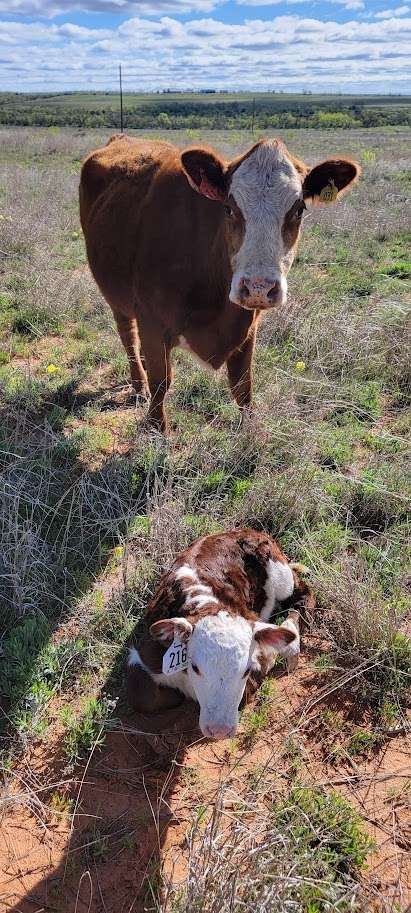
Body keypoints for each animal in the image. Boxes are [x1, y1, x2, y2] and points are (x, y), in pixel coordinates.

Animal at [79, 134, 360, 432]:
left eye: (299, 210)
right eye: (228, 208)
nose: (258, 288)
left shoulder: (247, 325)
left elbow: (242, 386)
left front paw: (250, 431)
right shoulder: (151, 320)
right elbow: (161, 381)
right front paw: (156, 428)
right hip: (115, 297)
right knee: (128, 339)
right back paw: (138, 383)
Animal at [127, 532, 314, 736]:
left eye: (246, 670)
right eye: (195, 667)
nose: (219, 730)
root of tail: (246, 531)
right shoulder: (146, 651)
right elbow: (142, 695)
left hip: (281, 578)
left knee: (304, 596)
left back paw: (292, 646)